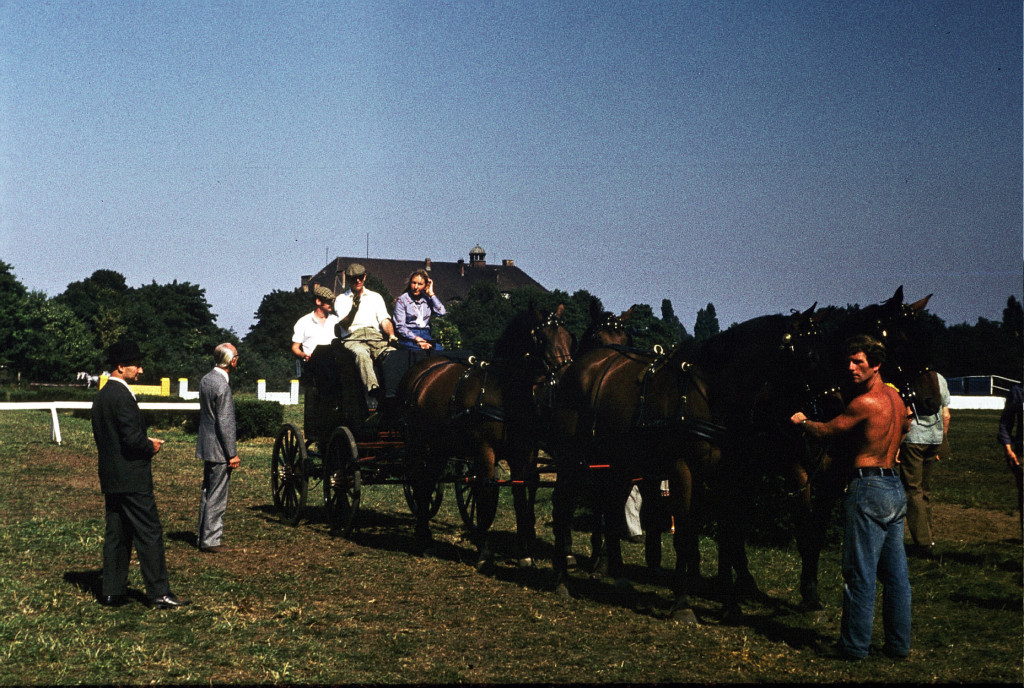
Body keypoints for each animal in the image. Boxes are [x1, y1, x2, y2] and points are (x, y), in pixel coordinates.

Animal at [397, 307, 577, 565]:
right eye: (542, 340)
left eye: (569, 339)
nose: (566, 381)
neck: (503, 392)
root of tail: (421, 371)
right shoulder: (485, 451)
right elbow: (484, 491)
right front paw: (483, 550)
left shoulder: (524, 452)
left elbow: (521, 496)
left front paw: (525, 552)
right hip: (417, 444)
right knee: (419, 482)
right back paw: (424, 537)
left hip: (439, 447)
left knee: (428, 482)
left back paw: (426, 538)